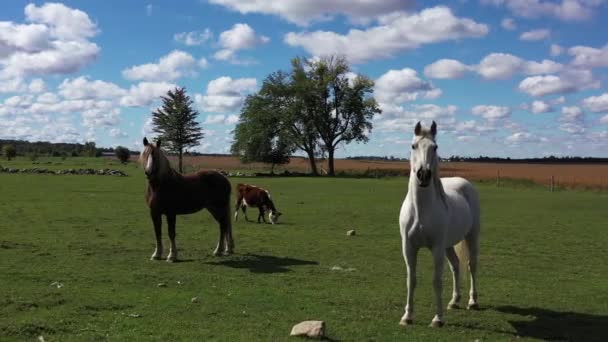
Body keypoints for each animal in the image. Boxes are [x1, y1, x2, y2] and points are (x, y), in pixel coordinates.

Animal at [400, 121, 480, 328]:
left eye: (435, 147)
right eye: (413, 146)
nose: (424, 175)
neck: (420, 211)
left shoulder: (436, 248)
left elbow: (436, 281)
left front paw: (437, 318)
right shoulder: (409, 247)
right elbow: (411, 279)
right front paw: (407, 316)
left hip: (472, 236)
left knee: (471, 265)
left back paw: (472, 302)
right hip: (448, 245)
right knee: (456, 266)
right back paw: (454, 301)